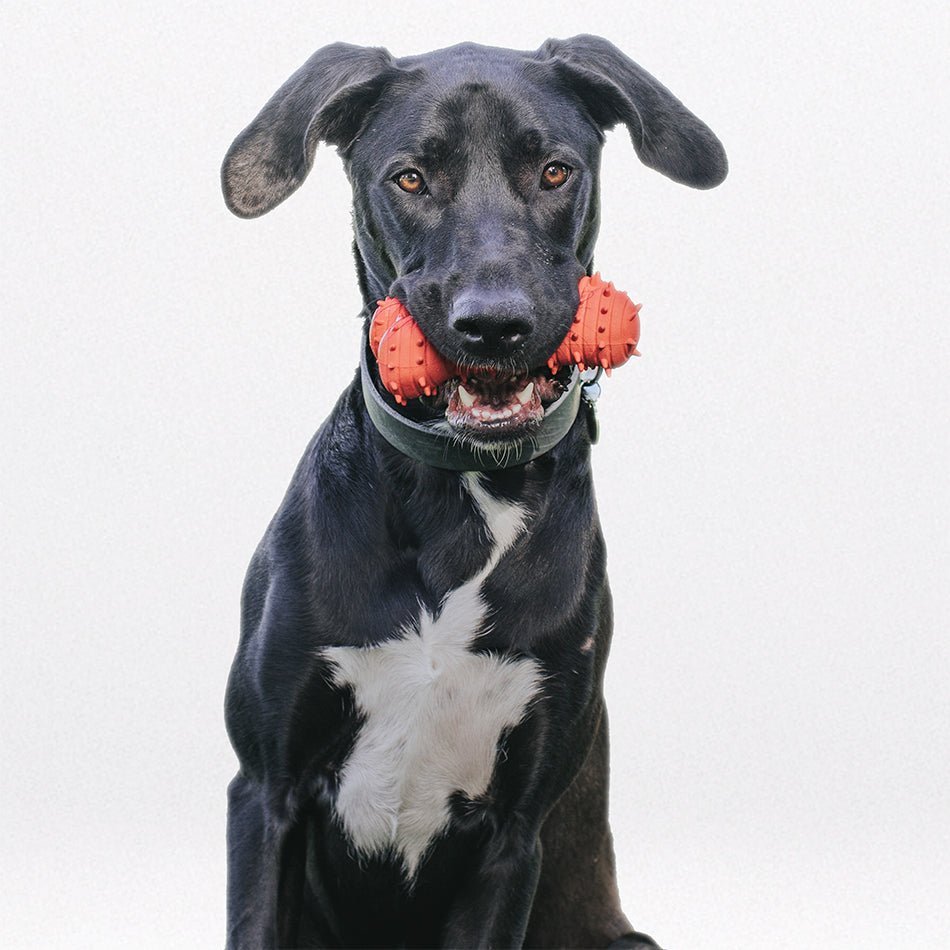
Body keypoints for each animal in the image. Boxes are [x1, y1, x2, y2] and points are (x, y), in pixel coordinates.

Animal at [223, 33, 728, 948]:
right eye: (409, 179)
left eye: (556, 172)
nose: (494, 324)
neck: (465, 496)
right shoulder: (265, 792)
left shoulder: (511, 837)